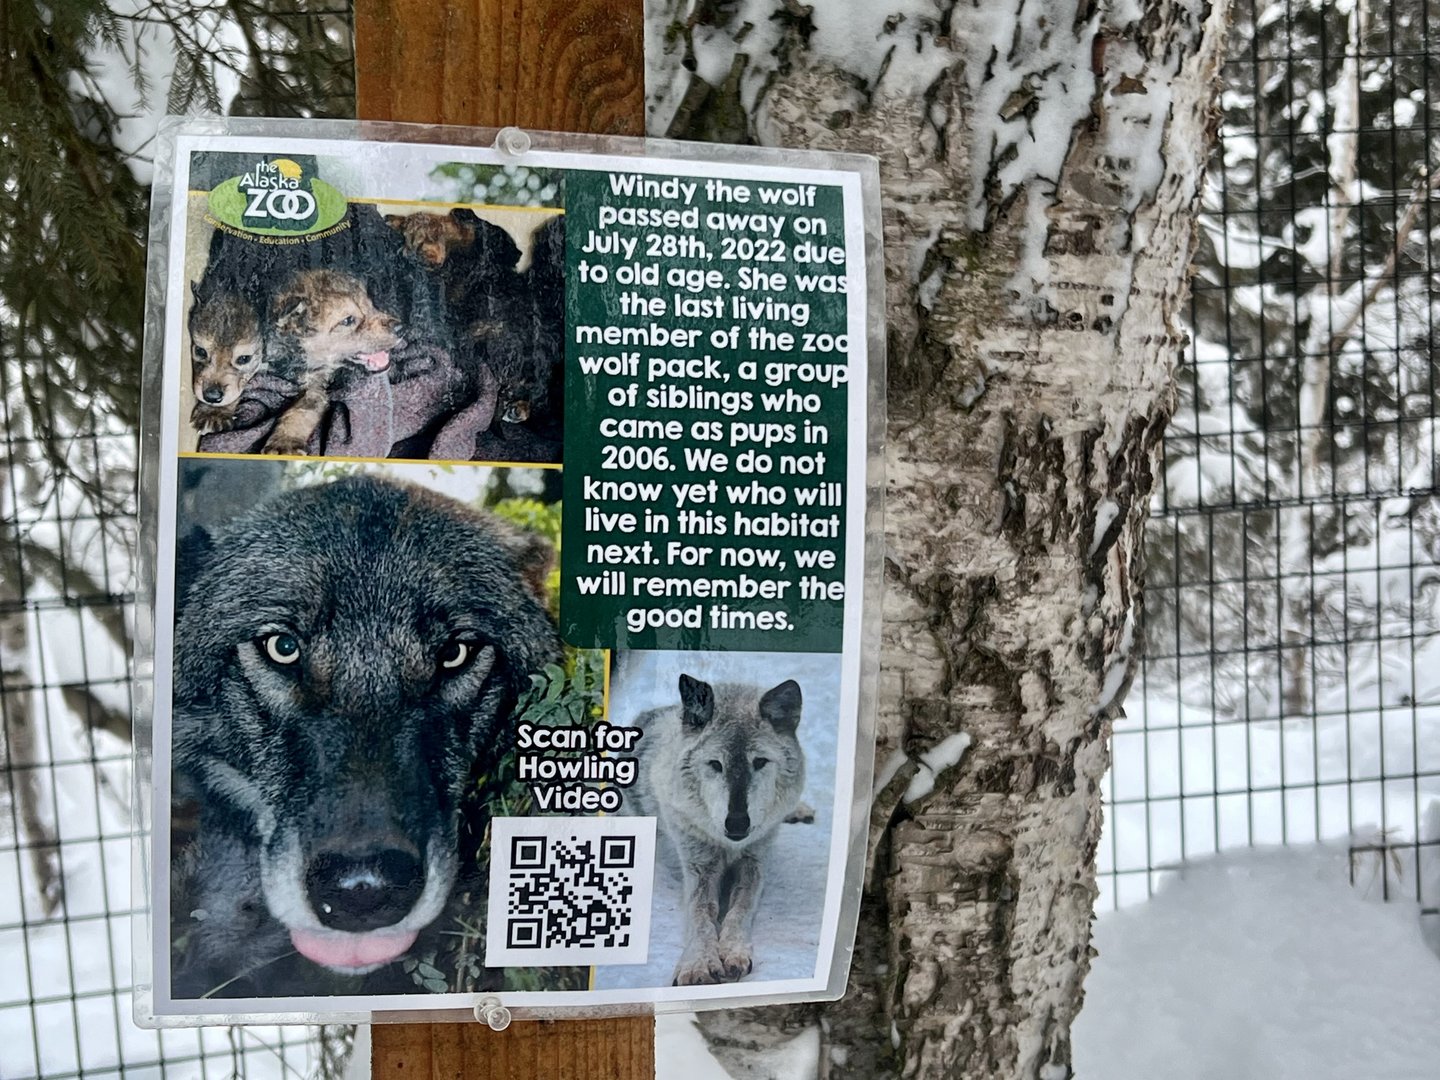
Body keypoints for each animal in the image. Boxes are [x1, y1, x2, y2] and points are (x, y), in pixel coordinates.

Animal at [259, 269, 405, 454]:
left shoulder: (316, 385)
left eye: (372, 306)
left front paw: (285, 442)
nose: (401, 328)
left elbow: (301, 409)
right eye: (347, 320)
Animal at [626, 674, 806, 985]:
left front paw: (733, 951)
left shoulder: (754, 862)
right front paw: (697, 964)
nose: (737, 822)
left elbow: (739, 909)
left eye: (760, 762)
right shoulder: (698, 868)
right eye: (715, 764)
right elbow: (701, 914)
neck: (728, 846)